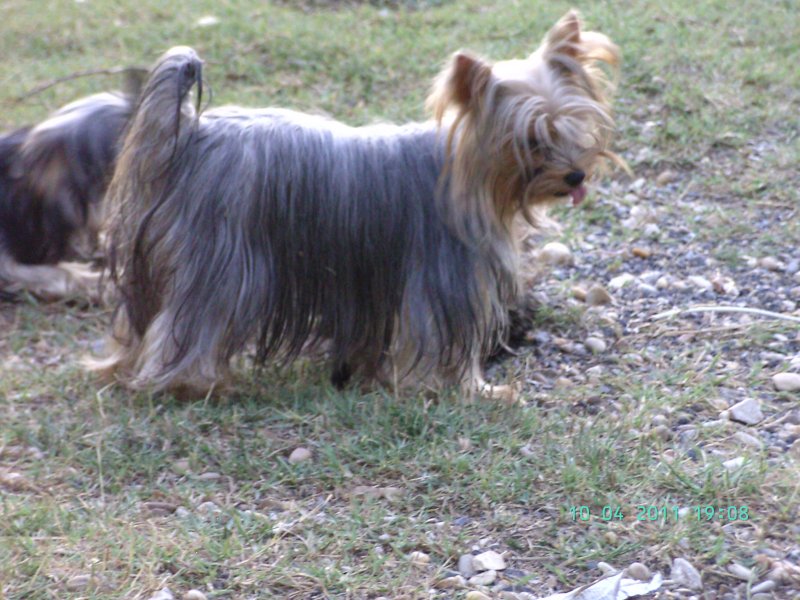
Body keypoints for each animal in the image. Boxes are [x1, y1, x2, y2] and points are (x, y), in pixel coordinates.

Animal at [94, 8, 620, 398]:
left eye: (571, 125)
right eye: (530, 141)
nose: (576, 175)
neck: (474, 178)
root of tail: (190, 134)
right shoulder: (442, 282)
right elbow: (445, 349)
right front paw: (474, 390)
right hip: (224, 262)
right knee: (194, 323)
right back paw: (191, 383)